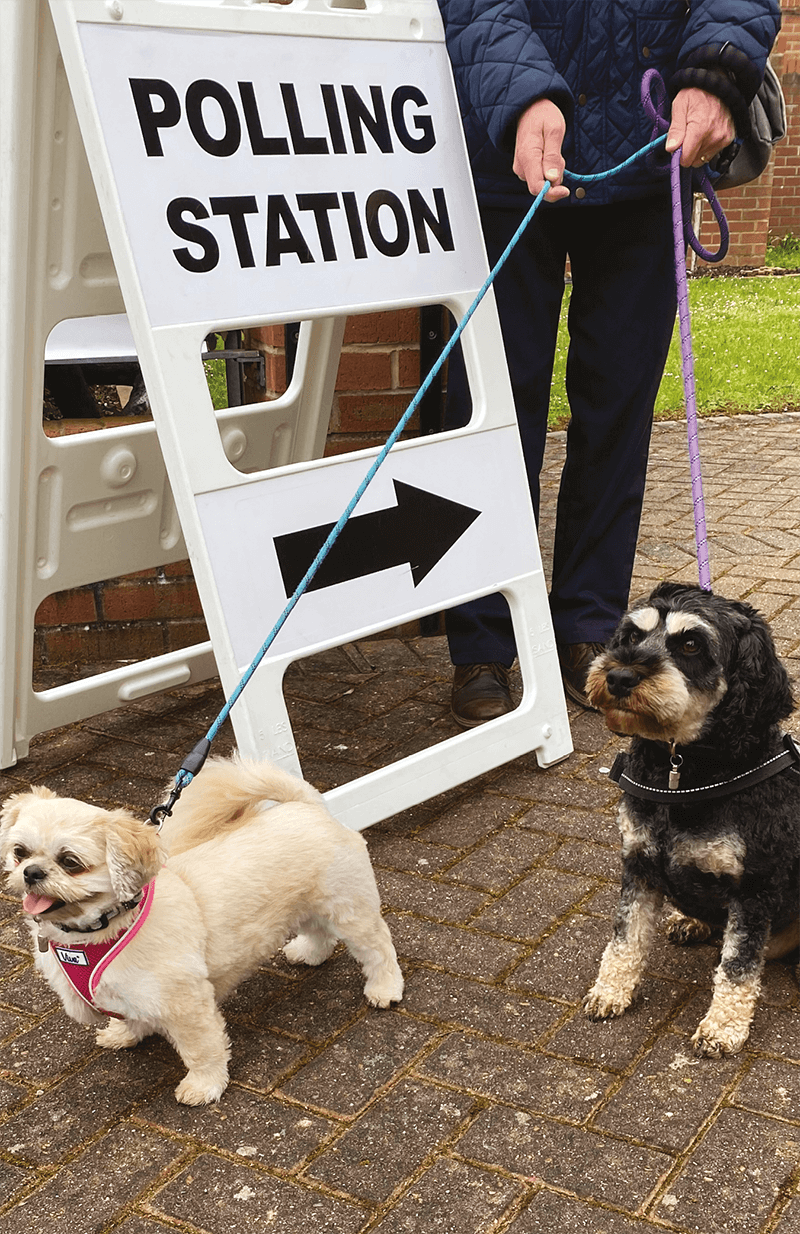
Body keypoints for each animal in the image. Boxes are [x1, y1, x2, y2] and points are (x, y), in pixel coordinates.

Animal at [0, 755, 400, 1105]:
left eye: (70, 862)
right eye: (20, 852)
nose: (31, 872)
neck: (96, 933)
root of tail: (306, 806)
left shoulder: (186, 1004)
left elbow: (201, 1049)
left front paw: (203, 1086)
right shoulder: (128, 992)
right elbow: (131, 1015)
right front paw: (125, 1034)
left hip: (350, 911)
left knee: (378, 949)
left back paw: (385, 988)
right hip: (304, 906)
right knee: (319, 932)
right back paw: (309, 953)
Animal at [580, 582, 800, 1056]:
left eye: (691, 644)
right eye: (631, 636)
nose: (619, 677)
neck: (680, 767)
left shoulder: (754, 890)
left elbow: (737, 967)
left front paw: (722, 1027)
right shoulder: (639, 865)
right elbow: (625, 938)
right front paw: (610, 990)